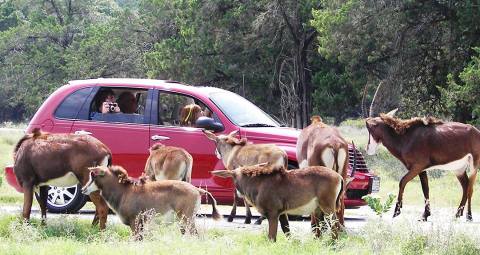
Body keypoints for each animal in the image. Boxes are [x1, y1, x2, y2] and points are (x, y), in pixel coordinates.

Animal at [82, 165, 221, 239]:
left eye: (94, 175)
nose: (83, 189)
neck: (124, 191)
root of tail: (197, 190)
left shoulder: (135, 222)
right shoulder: (141, 224)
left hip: (187, 218)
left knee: (195, 235)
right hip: (182, 221)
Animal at [212, 163, 344, 241]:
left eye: (234, 177)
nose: (237, 194)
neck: (259, 183)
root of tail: (339, 176)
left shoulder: (273, 214)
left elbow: (272, 237)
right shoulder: (282, 213)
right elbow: (287, 231)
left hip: (327, 206)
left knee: (335, 225)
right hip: (318, 210)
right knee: (322, 226)